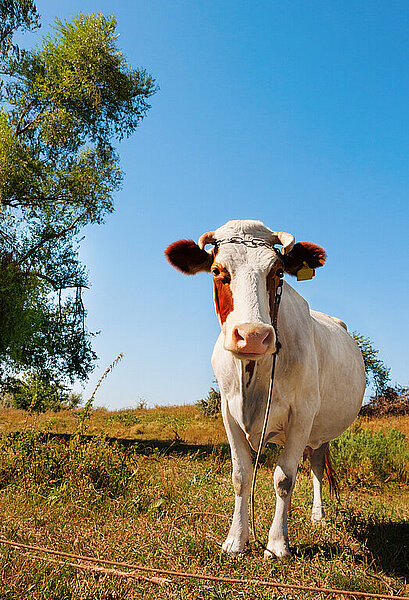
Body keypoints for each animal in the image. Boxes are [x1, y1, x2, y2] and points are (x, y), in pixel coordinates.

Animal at [164, 219, 364, 556]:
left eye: (278, 271)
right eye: (217, 270)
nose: (253, 336)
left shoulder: (302, 415)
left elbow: (284, 478)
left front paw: (277, 544)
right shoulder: (228, 413)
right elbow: (241, 476)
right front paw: (235, 540)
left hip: (321, 430)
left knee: (316, 467)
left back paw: (318, 517)